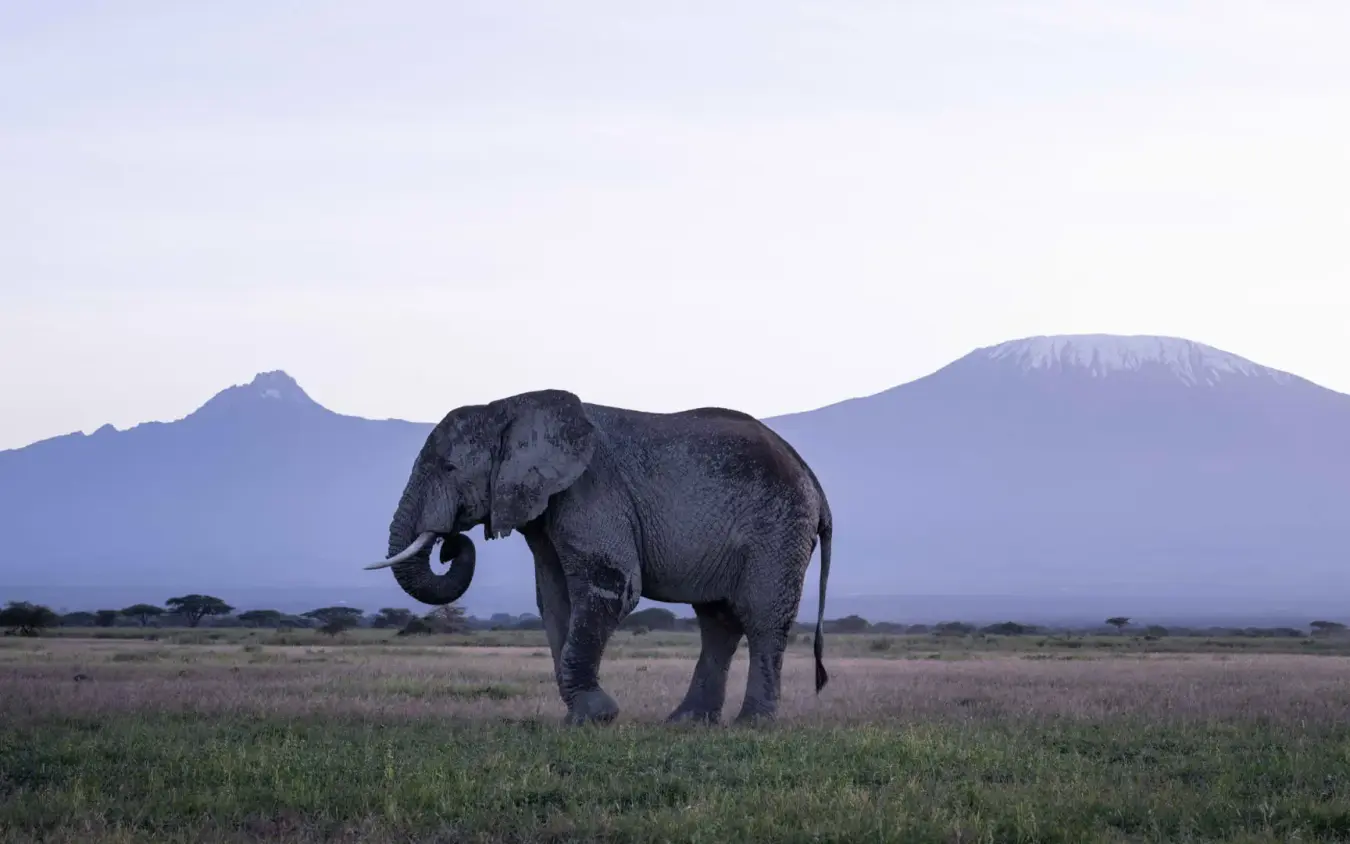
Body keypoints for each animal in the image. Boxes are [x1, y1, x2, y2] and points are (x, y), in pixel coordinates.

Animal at [364, 388, 833, 726]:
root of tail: (811, 477)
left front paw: (597, 717)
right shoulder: (548, 509)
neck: (509, 407)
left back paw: (752, 725)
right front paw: (582, 718)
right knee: (717, 622)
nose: (449, 544)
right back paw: (686, 724)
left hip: (779, 528)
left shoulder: (592, 490)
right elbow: (554, 600)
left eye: (448, 468)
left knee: (762, 618)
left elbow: (612, 585)